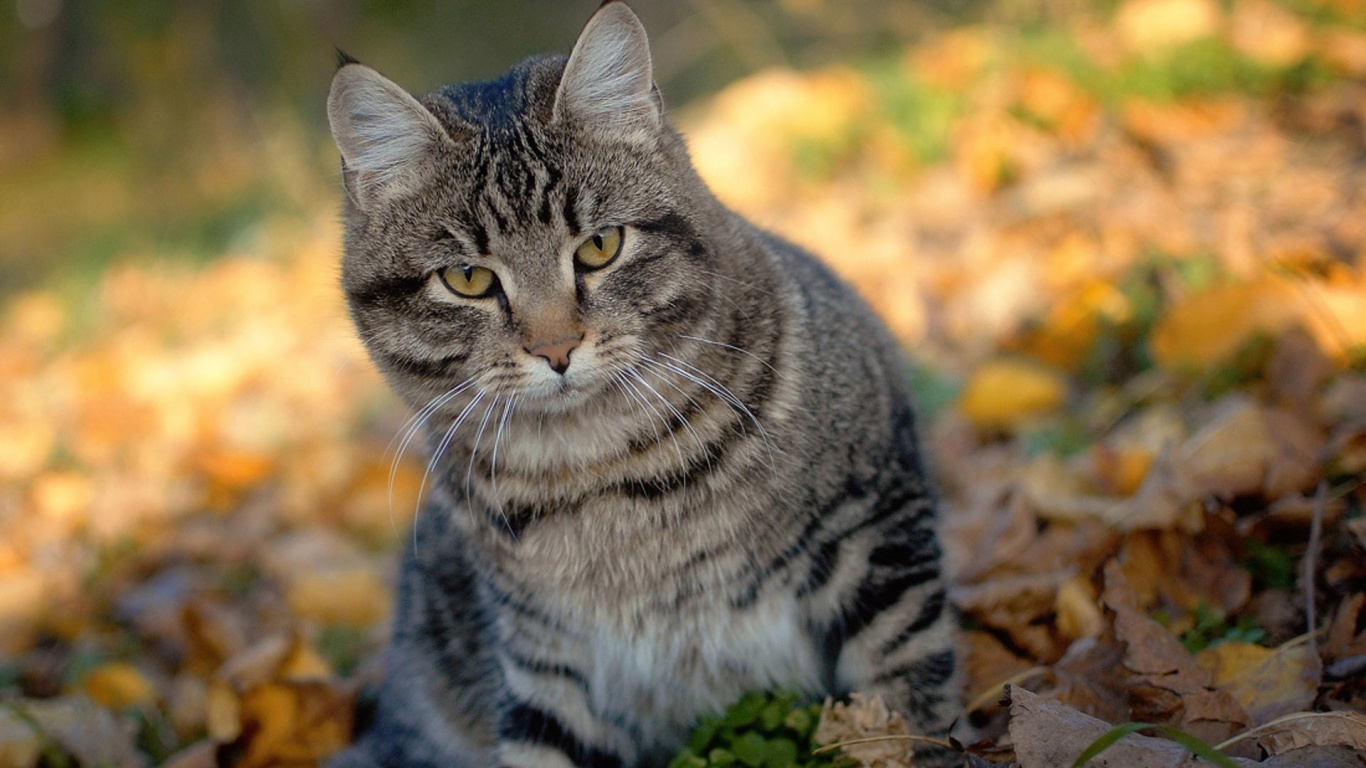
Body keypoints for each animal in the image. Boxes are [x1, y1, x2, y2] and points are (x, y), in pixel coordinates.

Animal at [323, 2, 956, 759]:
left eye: (600, 246)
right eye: (468, 279)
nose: (556, 348)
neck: (602, 472)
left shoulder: (878, 529)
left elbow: (907, 704)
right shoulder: (542, 659)